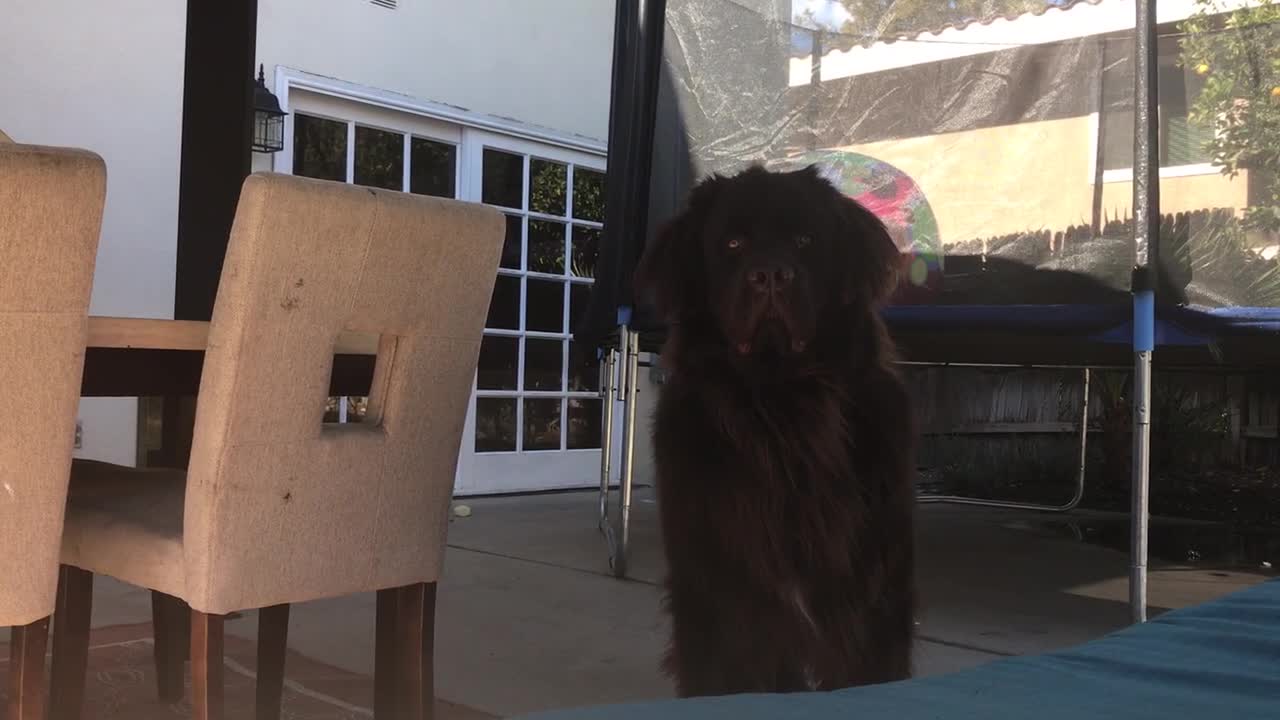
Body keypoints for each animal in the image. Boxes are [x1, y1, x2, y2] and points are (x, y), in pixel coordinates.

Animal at [634, 163, 916, 696]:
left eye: (805, 239)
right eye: (732, 244)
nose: (769, 275)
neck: (782, 408)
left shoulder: (871, 593)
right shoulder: (717, 592)